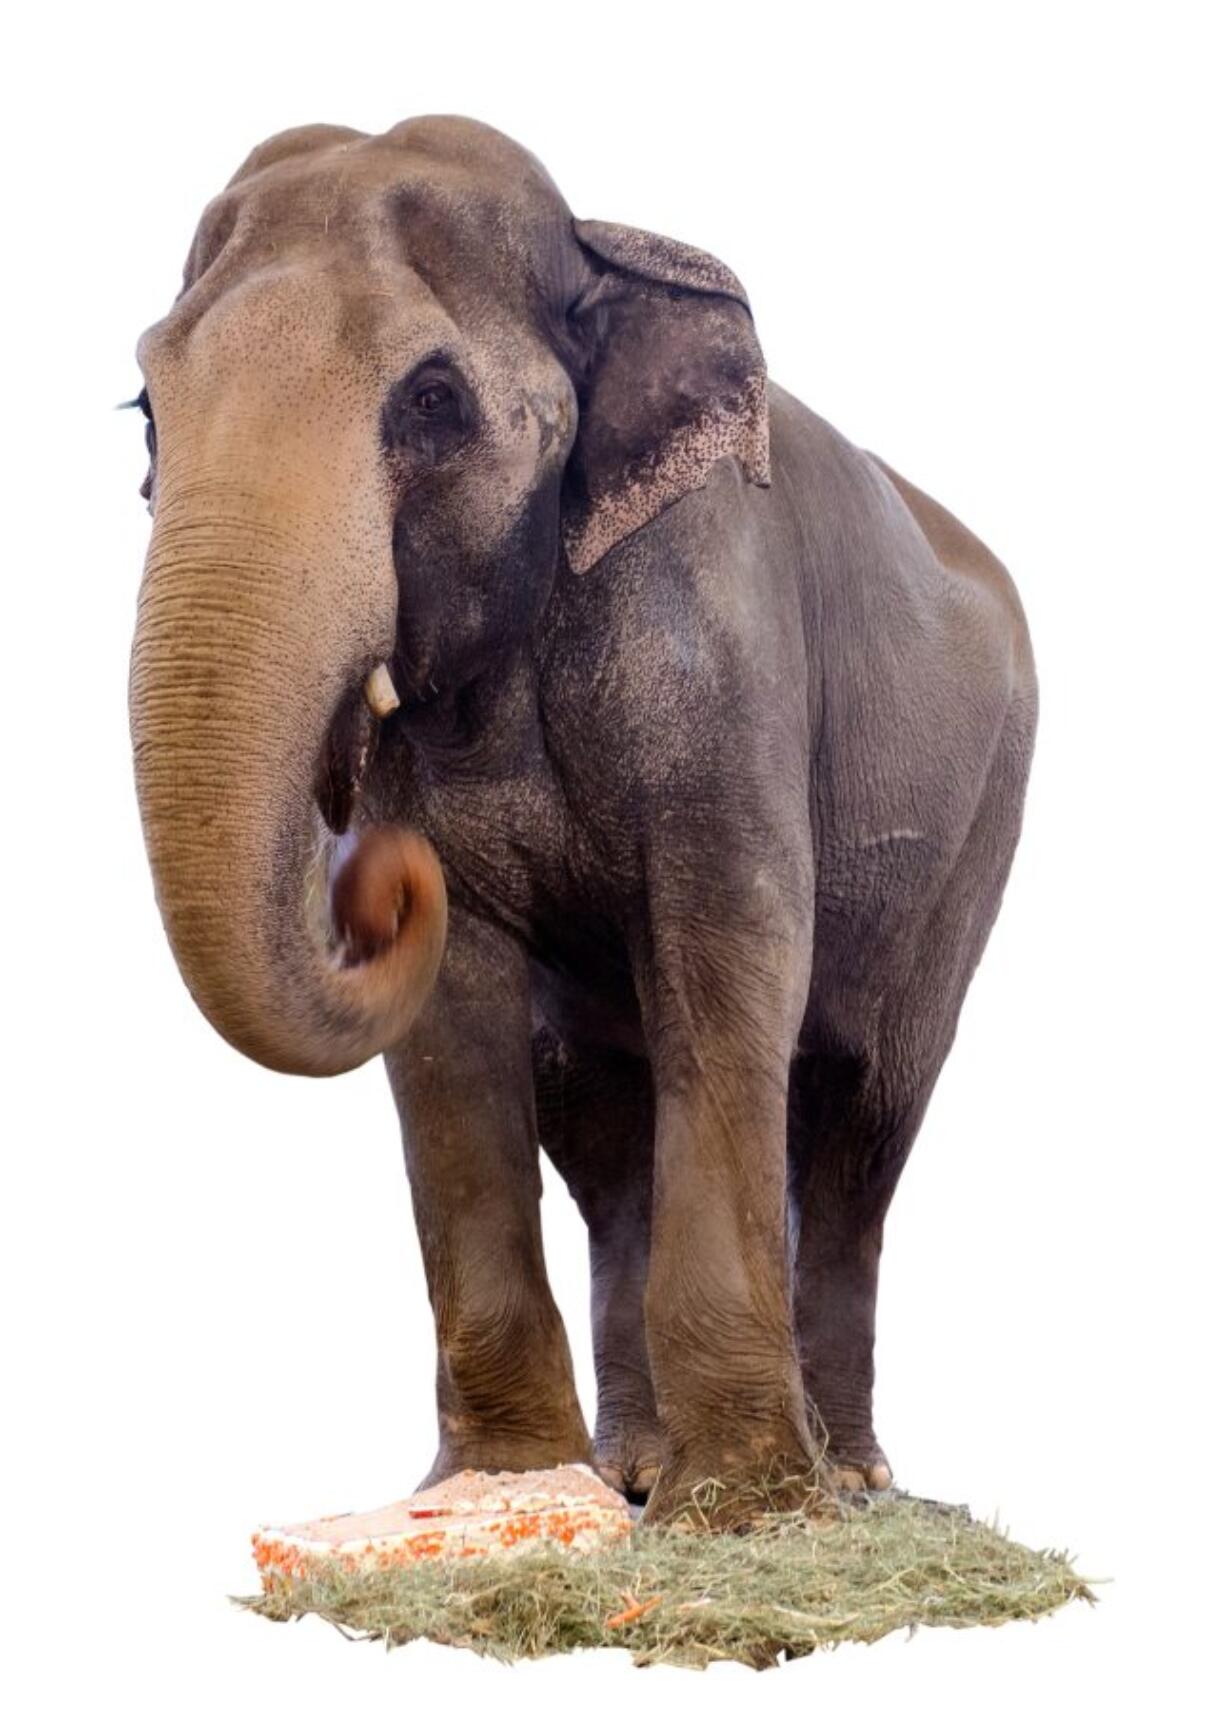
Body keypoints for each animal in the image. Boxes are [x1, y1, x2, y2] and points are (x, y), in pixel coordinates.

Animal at [131, 117, 1032, 1526]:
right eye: (144, 411)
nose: (373, 873)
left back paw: (850, 1479)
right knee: (603, 1120)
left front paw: (750, 1509)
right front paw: (504, 1489)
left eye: (431, 401)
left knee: (862, 1112)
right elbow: (453, 1027)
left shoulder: (715, 637)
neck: (604, 256)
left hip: (975, 830)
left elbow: (729, 956)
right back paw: (632, 1472)